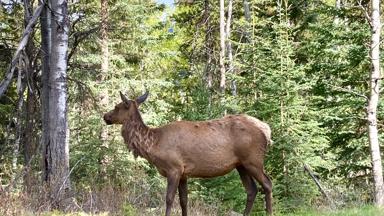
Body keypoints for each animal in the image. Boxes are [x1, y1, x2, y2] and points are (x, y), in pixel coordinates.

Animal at [103, 90, 272, 215]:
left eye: (117, 106)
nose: (105, 116)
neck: (153, 144)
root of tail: (266, 129)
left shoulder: (174, 168)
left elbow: (169, 198)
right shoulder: (184, 173)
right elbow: (184, 200)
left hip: (253, 160)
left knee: (267, 184)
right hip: (241, 164)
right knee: (251, 190)